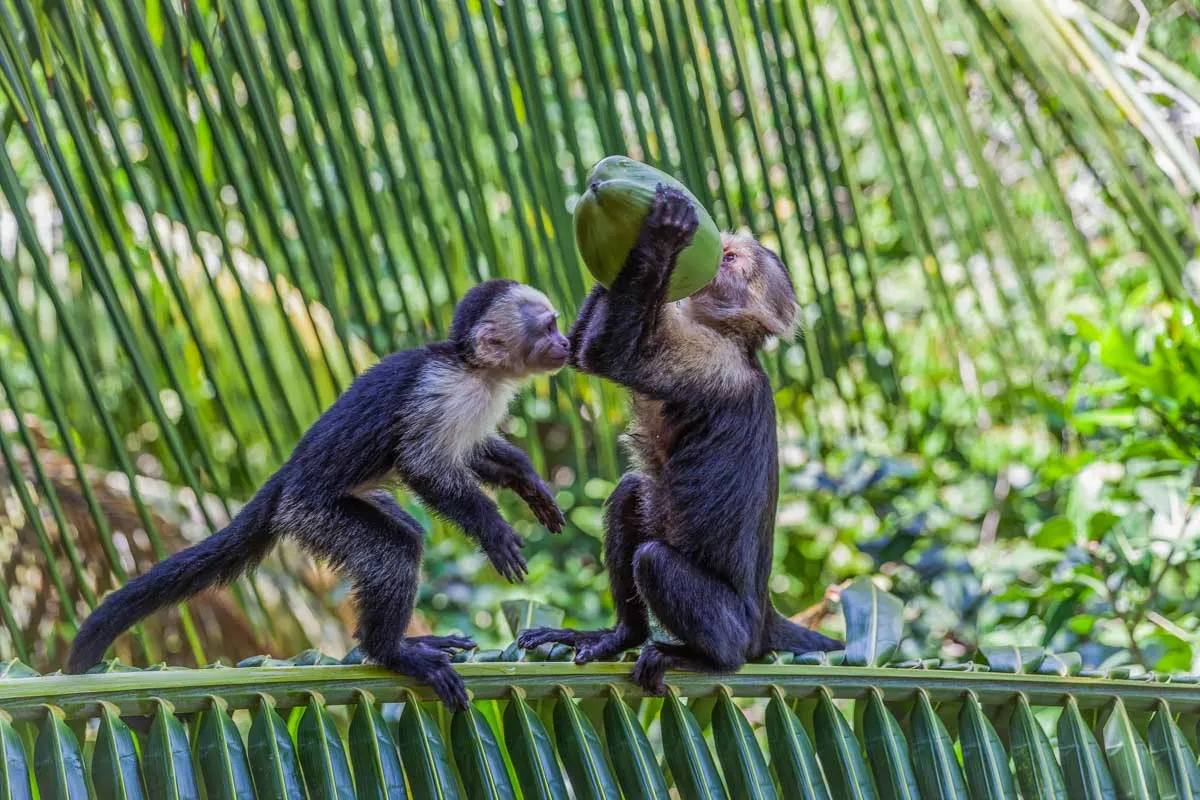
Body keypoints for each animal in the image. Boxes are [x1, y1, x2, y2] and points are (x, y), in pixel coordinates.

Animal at [68, 280, 568, 705]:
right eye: (548, 327)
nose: (566, 343)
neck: (473, 367)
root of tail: (288, 475)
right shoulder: (446, 391)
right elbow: (423, 465)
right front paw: (493, 530)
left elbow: (472, 453)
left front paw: (529, 482)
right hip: (310, 511)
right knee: (394, 550)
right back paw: (391, 652)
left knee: (400, 531)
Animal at [518, 184, 844, 690]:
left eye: (729, 258)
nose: (715, 252)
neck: (729, 336)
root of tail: (765, 619)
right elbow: (583, 350)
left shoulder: (714, 362)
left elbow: (607, 356)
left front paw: (666, 229)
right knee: (632, 493)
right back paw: (623, 636)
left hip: (735, 624)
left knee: (655, 561)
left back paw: (707, 659)